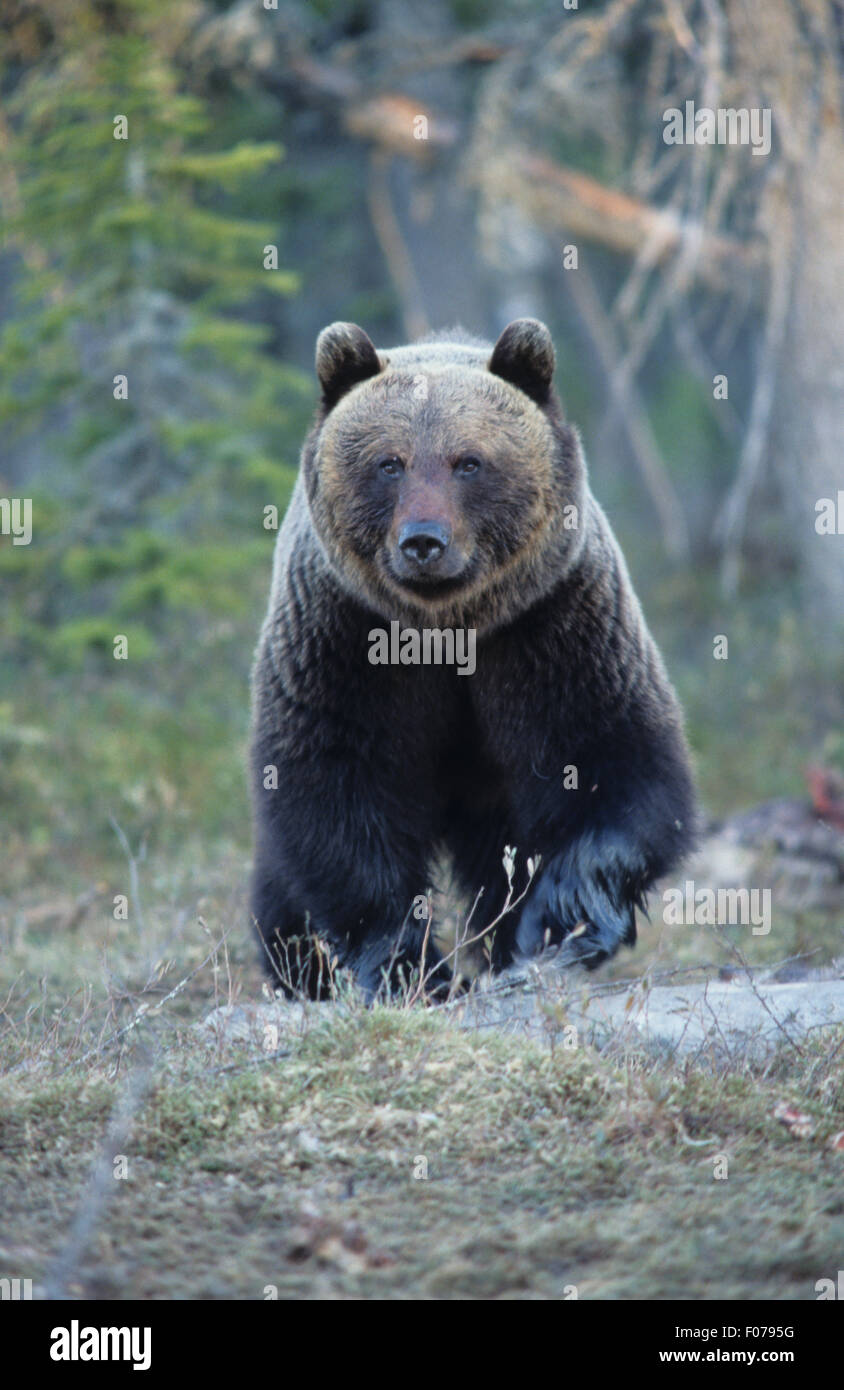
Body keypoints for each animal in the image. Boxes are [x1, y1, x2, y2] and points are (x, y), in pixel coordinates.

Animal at [250, 318, 700, 995]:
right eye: (389, 463)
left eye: (469, 461)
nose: (423, 541)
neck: (448, 628)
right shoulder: (342, 639)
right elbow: (336, 792)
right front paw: (408, 966)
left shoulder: (554, 626)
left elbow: (614, 761)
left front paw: (560, 924)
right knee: (281, 885)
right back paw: (298, 966)